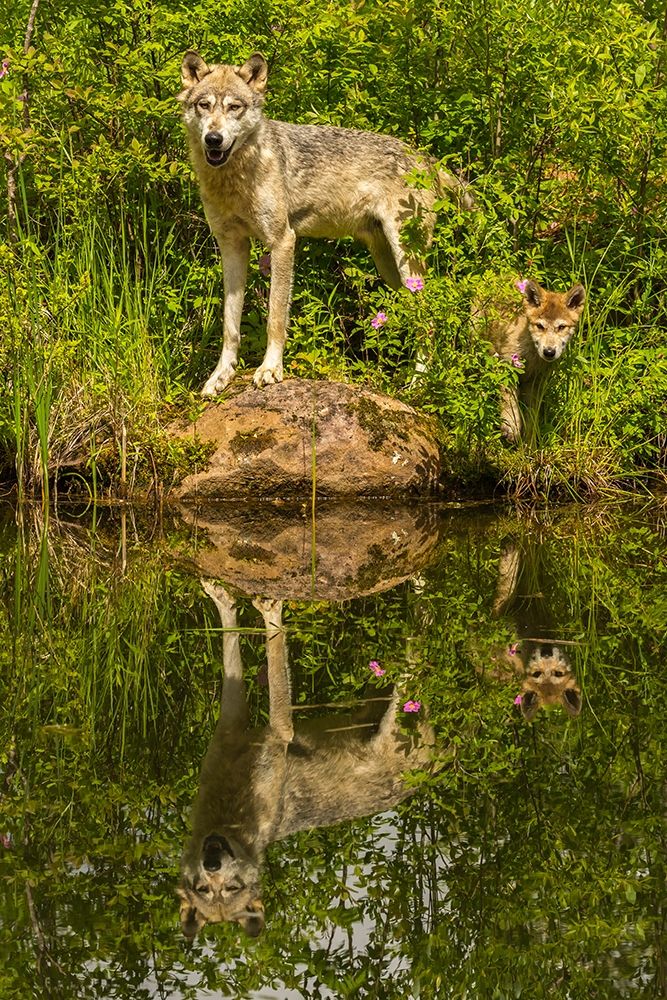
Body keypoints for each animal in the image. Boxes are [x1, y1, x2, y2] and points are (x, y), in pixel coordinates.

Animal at [178, 51, 473, 397]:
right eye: (204, 105)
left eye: (234, 107)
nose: (214, 139)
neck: (236, 178)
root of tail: (426, 159)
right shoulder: (231, 246)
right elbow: (230, 325)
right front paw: (220, 377)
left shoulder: (283, 241)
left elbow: (275, 317)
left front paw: (270, 370)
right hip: (389, 268)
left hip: (406, 261)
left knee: (428, 321)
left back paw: (418, 384)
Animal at [178, 581, 434, 940]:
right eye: (203, 888)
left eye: (231, 888)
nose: (211, 860)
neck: (230, 816)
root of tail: (440, 762)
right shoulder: (248, 726)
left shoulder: (264, 728)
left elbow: (259, 648)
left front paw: (237, 601)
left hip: (399, 692)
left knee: (421, 632)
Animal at [473, 279, 586, 442]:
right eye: (540, 326)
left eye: (561, 327)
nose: (549, 352)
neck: (532, 357)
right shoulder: (507, 367)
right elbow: (509, 401)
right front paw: (511, 427)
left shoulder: (536, 382)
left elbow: (532, 416)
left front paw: (530, 441)